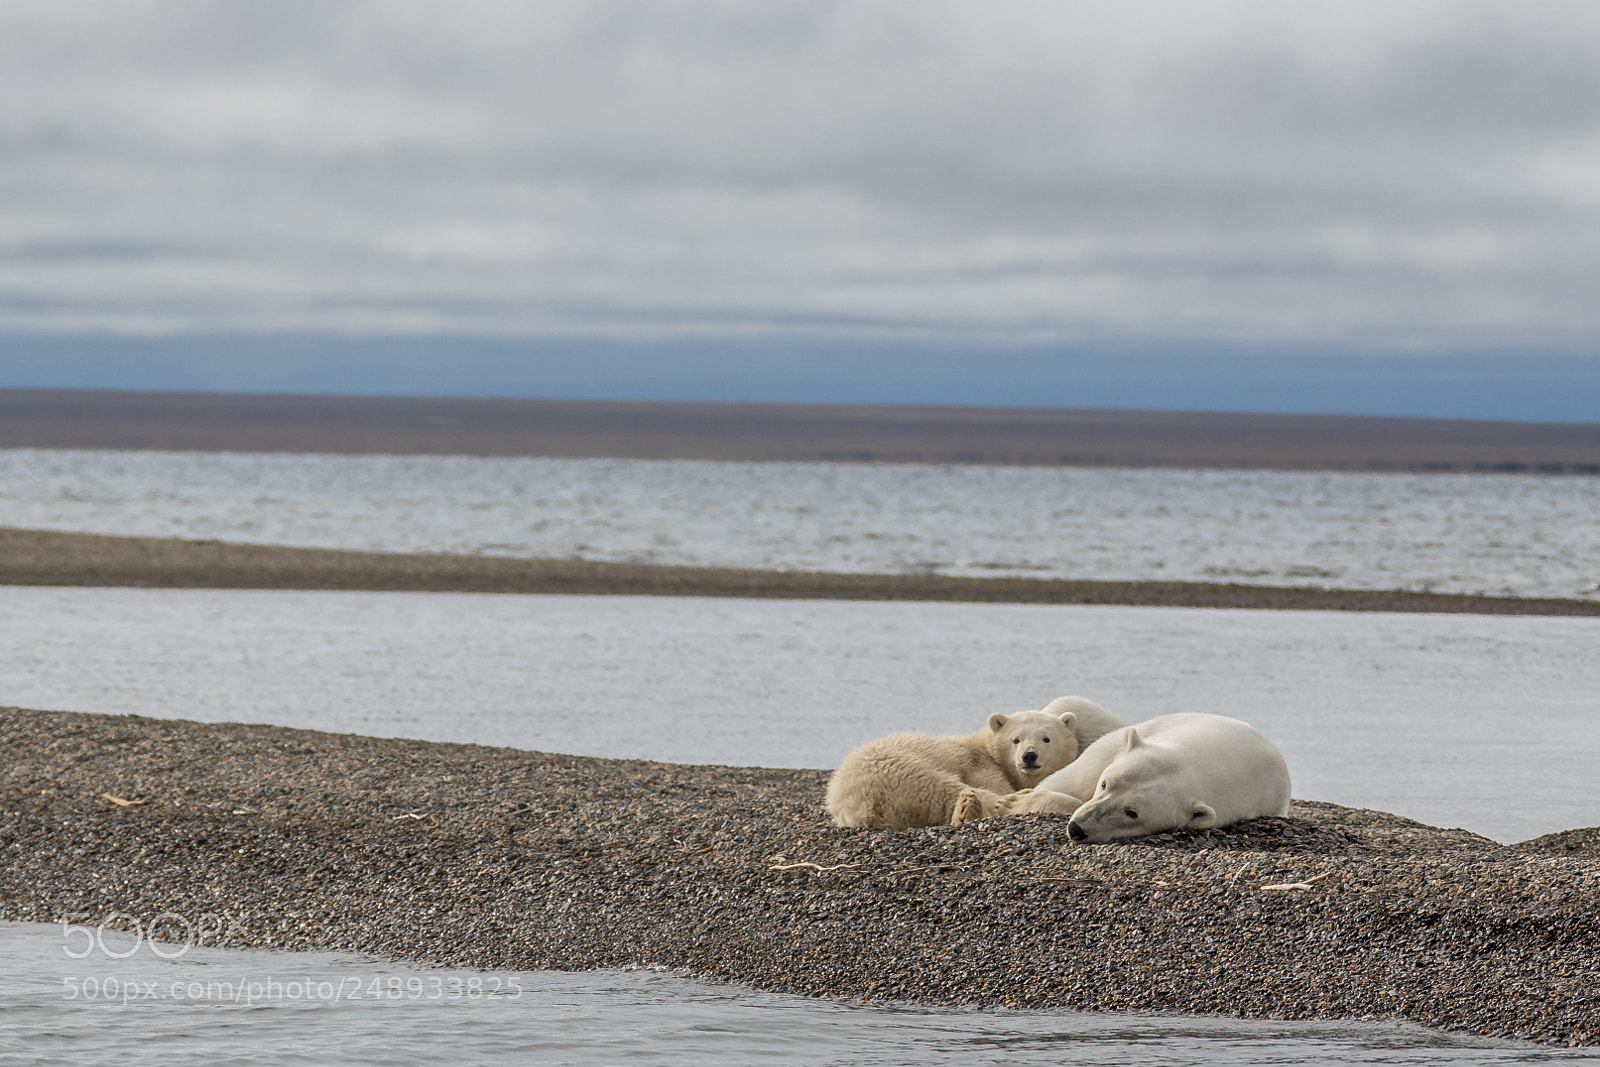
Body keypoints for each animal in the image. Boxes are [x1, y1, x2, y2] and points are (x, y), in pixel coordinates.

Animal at [826, 696, 1128, 830]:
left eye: (1046, 738)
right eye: (1016, 739)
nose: (1029, 756)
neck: (985, 749)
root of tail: (865, 802)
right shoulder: (979, 766)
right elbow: (996, 788)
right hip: (904, 769)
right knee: (952, 789)